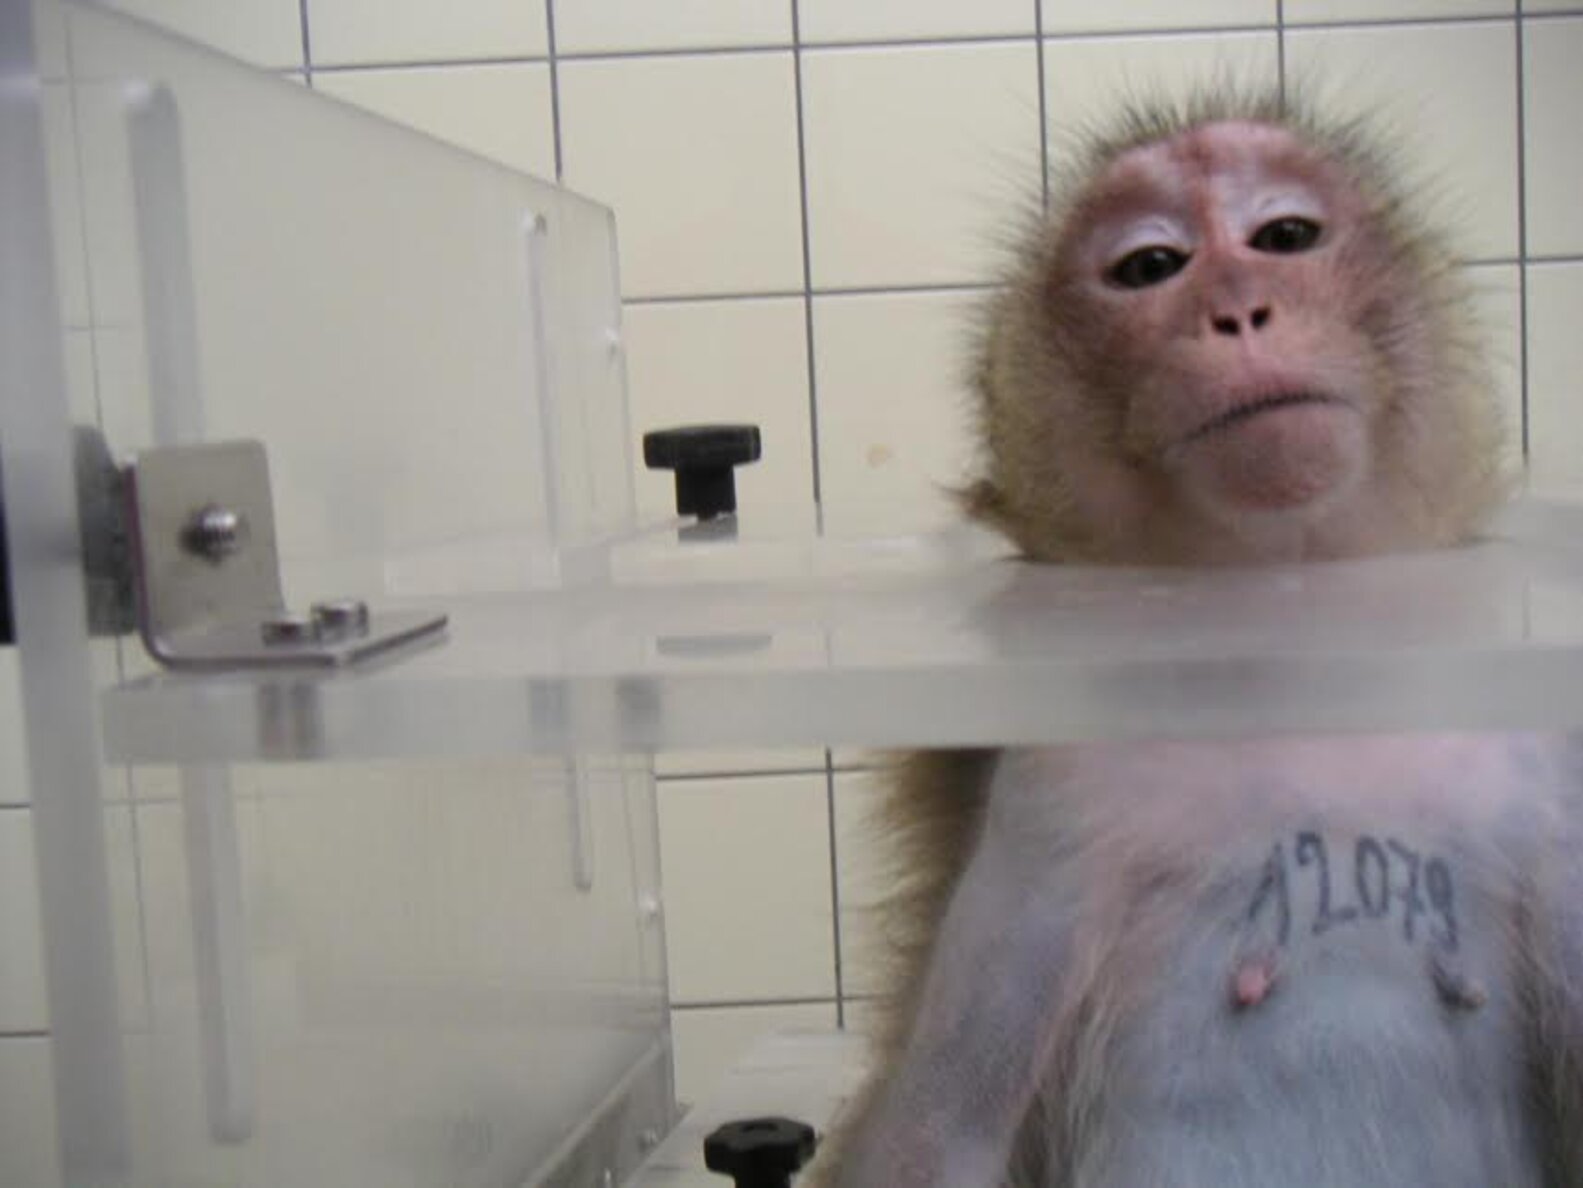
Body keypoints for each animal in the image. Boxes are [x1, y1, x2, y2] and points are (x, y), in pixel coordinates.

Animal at [809, 89, 1583, 1187]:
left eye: (1283, 237)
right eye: (1149, 266)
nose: (1237, 309)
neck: (1291, 661)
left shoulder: (1551, 766)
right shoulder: (1051, 800)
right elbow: (936, 1134)